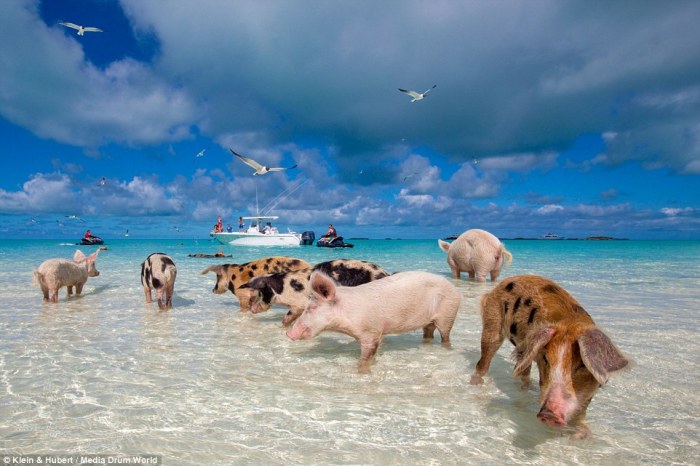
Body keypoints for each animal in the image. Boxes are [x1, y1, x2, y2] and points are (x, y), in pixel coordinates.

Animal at [242, 259, 389, 326]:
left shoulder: (298, 304)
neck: (283, 287)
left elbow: (288, 317)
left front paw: (282, 327)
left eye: (260, 293)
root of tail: (384, 273)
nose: (252, 309)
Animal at [286, 270, 461, 374]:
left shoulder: (371, 331)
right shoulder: (377, 333)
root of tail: (452, 286)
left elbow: (365, 358)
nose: (288, 333)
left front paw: (361, 373)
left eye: (311, 307)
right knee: (428, 333)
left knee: (445, 336)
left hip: (448, 313)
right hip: (429, 321)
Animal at [470, 275, 630, 439]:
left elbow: (582, 411)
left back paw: (528, 389)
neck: (570, 324)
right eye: (546, 359)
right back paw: (476, 385)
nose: (549, 414)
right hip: (492, 324)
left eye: (582, 365)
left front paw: (581, 436)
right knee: (483, 361)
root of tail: (497, 287)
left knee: (523, 370)